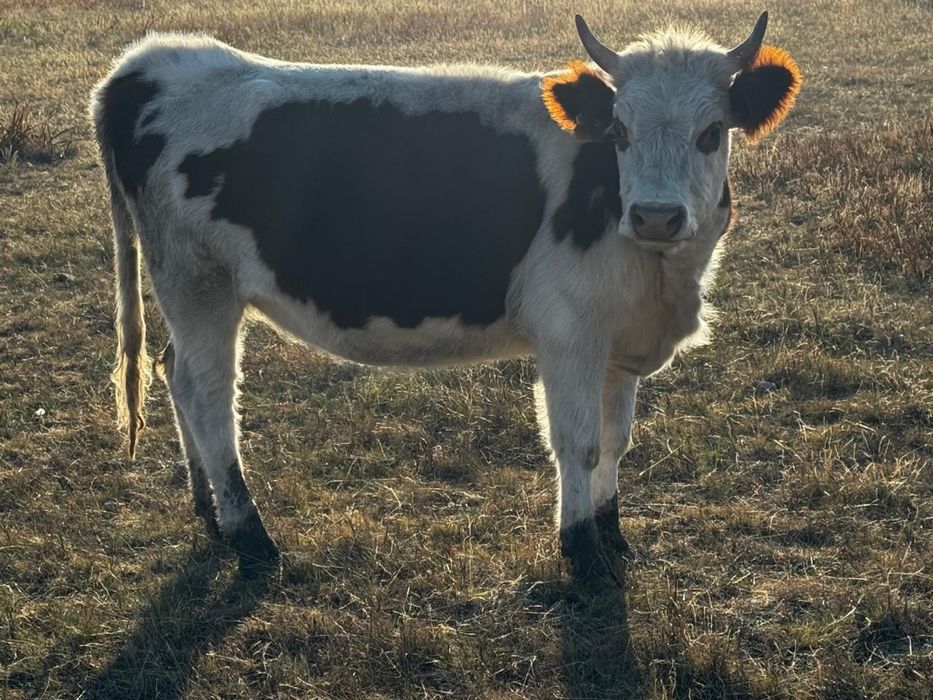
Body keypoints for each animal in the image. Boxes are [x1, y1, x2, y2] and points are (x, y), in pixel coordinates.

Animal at [90, 11, 801, 582]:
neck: (660, 275)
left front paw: (611, 533)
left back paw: (206, 506)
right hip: (199, 285)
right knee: (207, 396)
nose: (656, 216)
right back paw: (249, 534)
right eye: (620, 132)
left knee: (172, 371)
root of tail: (149, 61)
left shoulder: (619, 342)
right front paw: (582, 553)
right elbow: (578, 442)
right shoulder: (569, 334)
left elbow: (617, 439)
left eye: (712, 132)